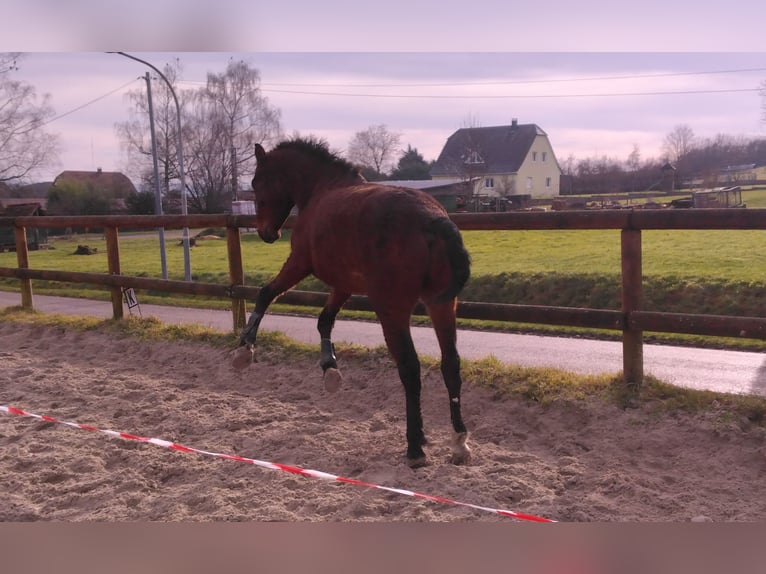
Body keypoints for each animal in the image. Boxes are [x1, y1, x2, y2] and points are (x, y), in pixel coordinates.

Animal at [232, 138, 474, 468]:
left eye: (257, 182)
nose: (266, 233)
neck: (322, 189)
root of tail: (433, 221)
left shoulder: (299, 263)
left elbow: (266, 293)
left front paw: (245, 348)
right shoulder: (344, 284)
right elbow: (324, 320)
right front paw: (329, 369)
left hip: (392, 310)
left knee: (410, 369)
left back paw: (415, 448)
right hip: (443, 306)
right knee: (451, 365)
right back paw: (458, 442)